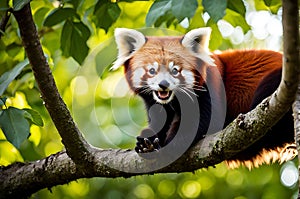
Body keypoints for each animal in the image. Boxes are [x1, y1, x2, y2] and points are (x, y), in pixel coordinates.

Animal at [112, 27, 296, 168]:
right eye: (152, 70)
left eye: (175, 70)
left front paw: (166, 147)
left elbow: (200, 122)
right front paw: (147, 142)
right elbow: (161, 119)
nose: (163, 85)